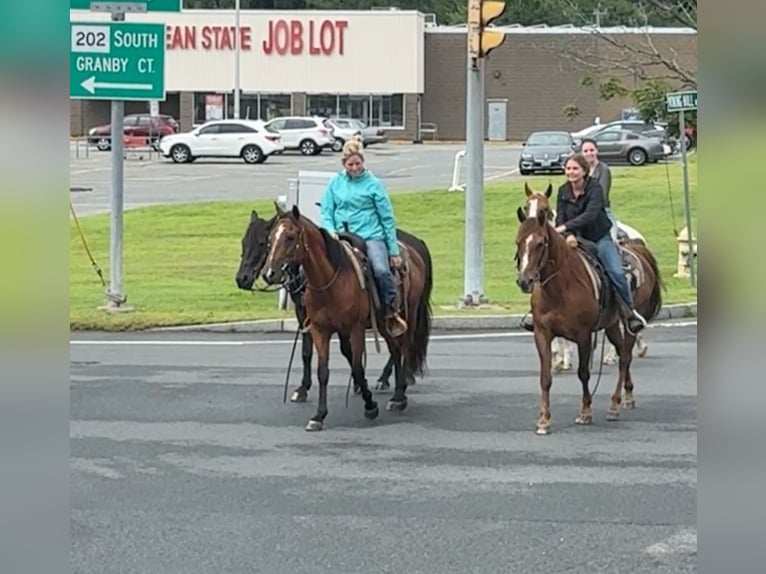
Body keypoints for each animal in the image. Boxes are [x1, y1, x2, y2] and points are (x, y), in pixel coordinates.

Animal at [260, 202, 436, 432]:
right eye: (271, 238)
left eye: (290, 237)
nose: (269, 274)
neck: (330, 281)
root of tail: (415, 250)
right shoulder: (320, 330)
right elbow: (323, 371)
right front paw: (319, 415)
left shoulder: (355, 329)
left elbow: (358, 367)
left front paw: (370, 406)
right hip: (383, 322)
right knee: (395, 351)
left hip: (409, 314)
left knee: (404, 348)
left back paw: (399, 396)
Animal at [516, 184, 664, 436]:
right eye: (519, 242)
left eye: (540, 243)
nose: (525, 281)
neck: (560, 287)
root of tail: (638, 248)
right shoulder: (542, 333)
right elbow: (545, 377)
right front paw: (544, 419)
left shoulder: (583, 335)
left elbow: (583, 373)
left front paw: (585, 411)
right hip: (612, 324)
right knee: (621, 353)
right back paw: (628, 395)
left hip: (628, 324)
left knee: (625, 357)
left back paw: (614, 405)